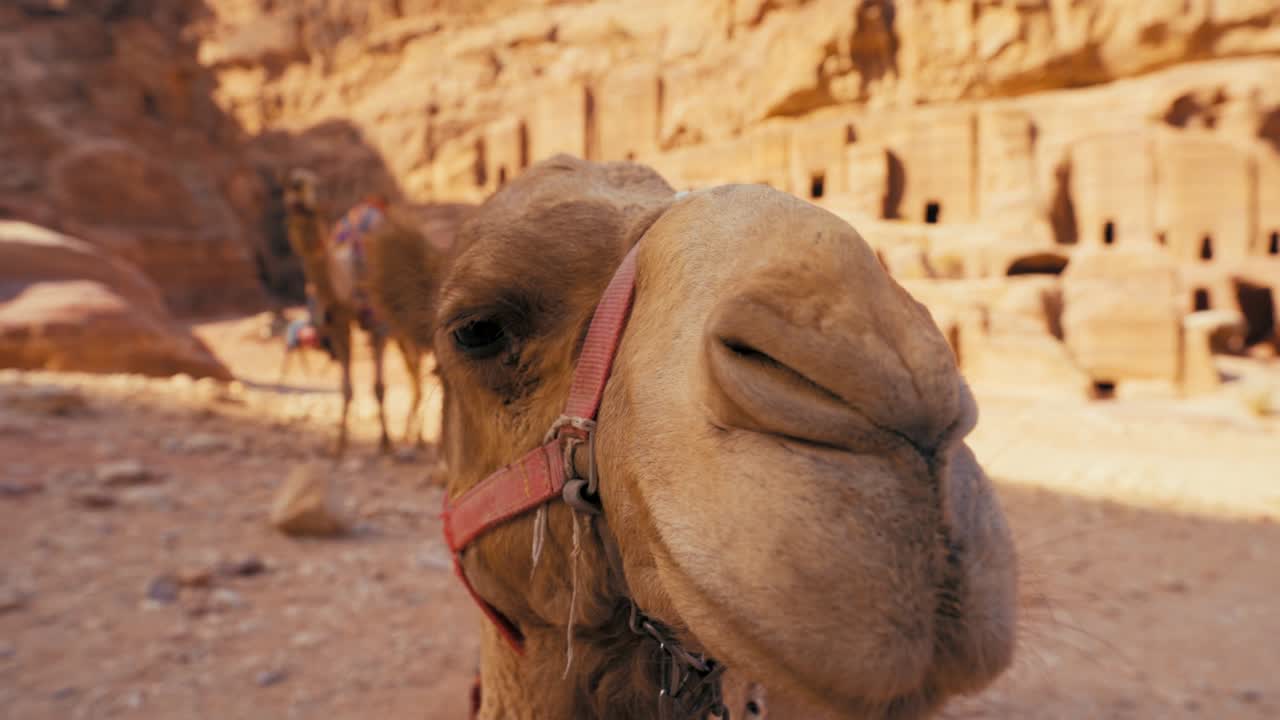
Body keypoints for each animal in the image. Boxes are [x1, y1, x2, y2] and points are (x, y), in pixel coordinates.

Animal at [281, 168, 438, 455]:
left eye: (318, 185)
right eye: (292, 186)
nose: (311, 197)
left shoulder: (377, 326)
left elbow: (379, 387)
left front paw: (385, 444)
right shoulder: (339, 324)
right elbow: (345, 388)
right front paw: (339, 446)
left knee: (416, 368)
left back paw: (417, 439)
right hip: (400, 332)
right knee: (413, 370)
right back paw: (410, 436)